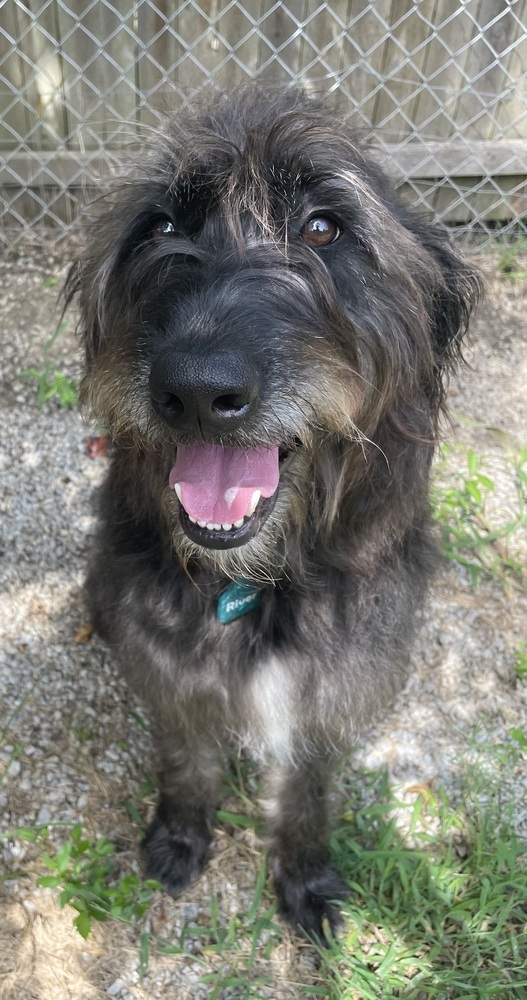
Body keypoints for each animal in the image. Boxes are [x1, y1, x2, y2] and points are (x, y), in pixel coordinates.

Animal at [69, 86, 482, 936]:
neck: (252, 583)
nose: (196, 388)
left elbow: (309, 787)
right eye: (160, 226)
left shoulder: (334, 685)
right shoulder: (171, 674)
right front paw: (180, 836)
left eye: (323, 227)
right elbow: (187, 760)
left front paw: (305, 877)